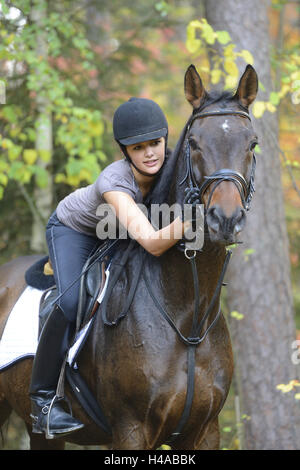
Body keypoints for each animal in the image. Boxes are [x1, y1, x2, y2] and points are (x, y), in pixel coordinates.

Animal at [0, 64, 258, 450]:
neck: (189, 319)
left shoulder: (204, 431)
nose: (225, 219)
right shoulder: (131, 429)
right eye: (194, 143)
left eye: (252, 143)